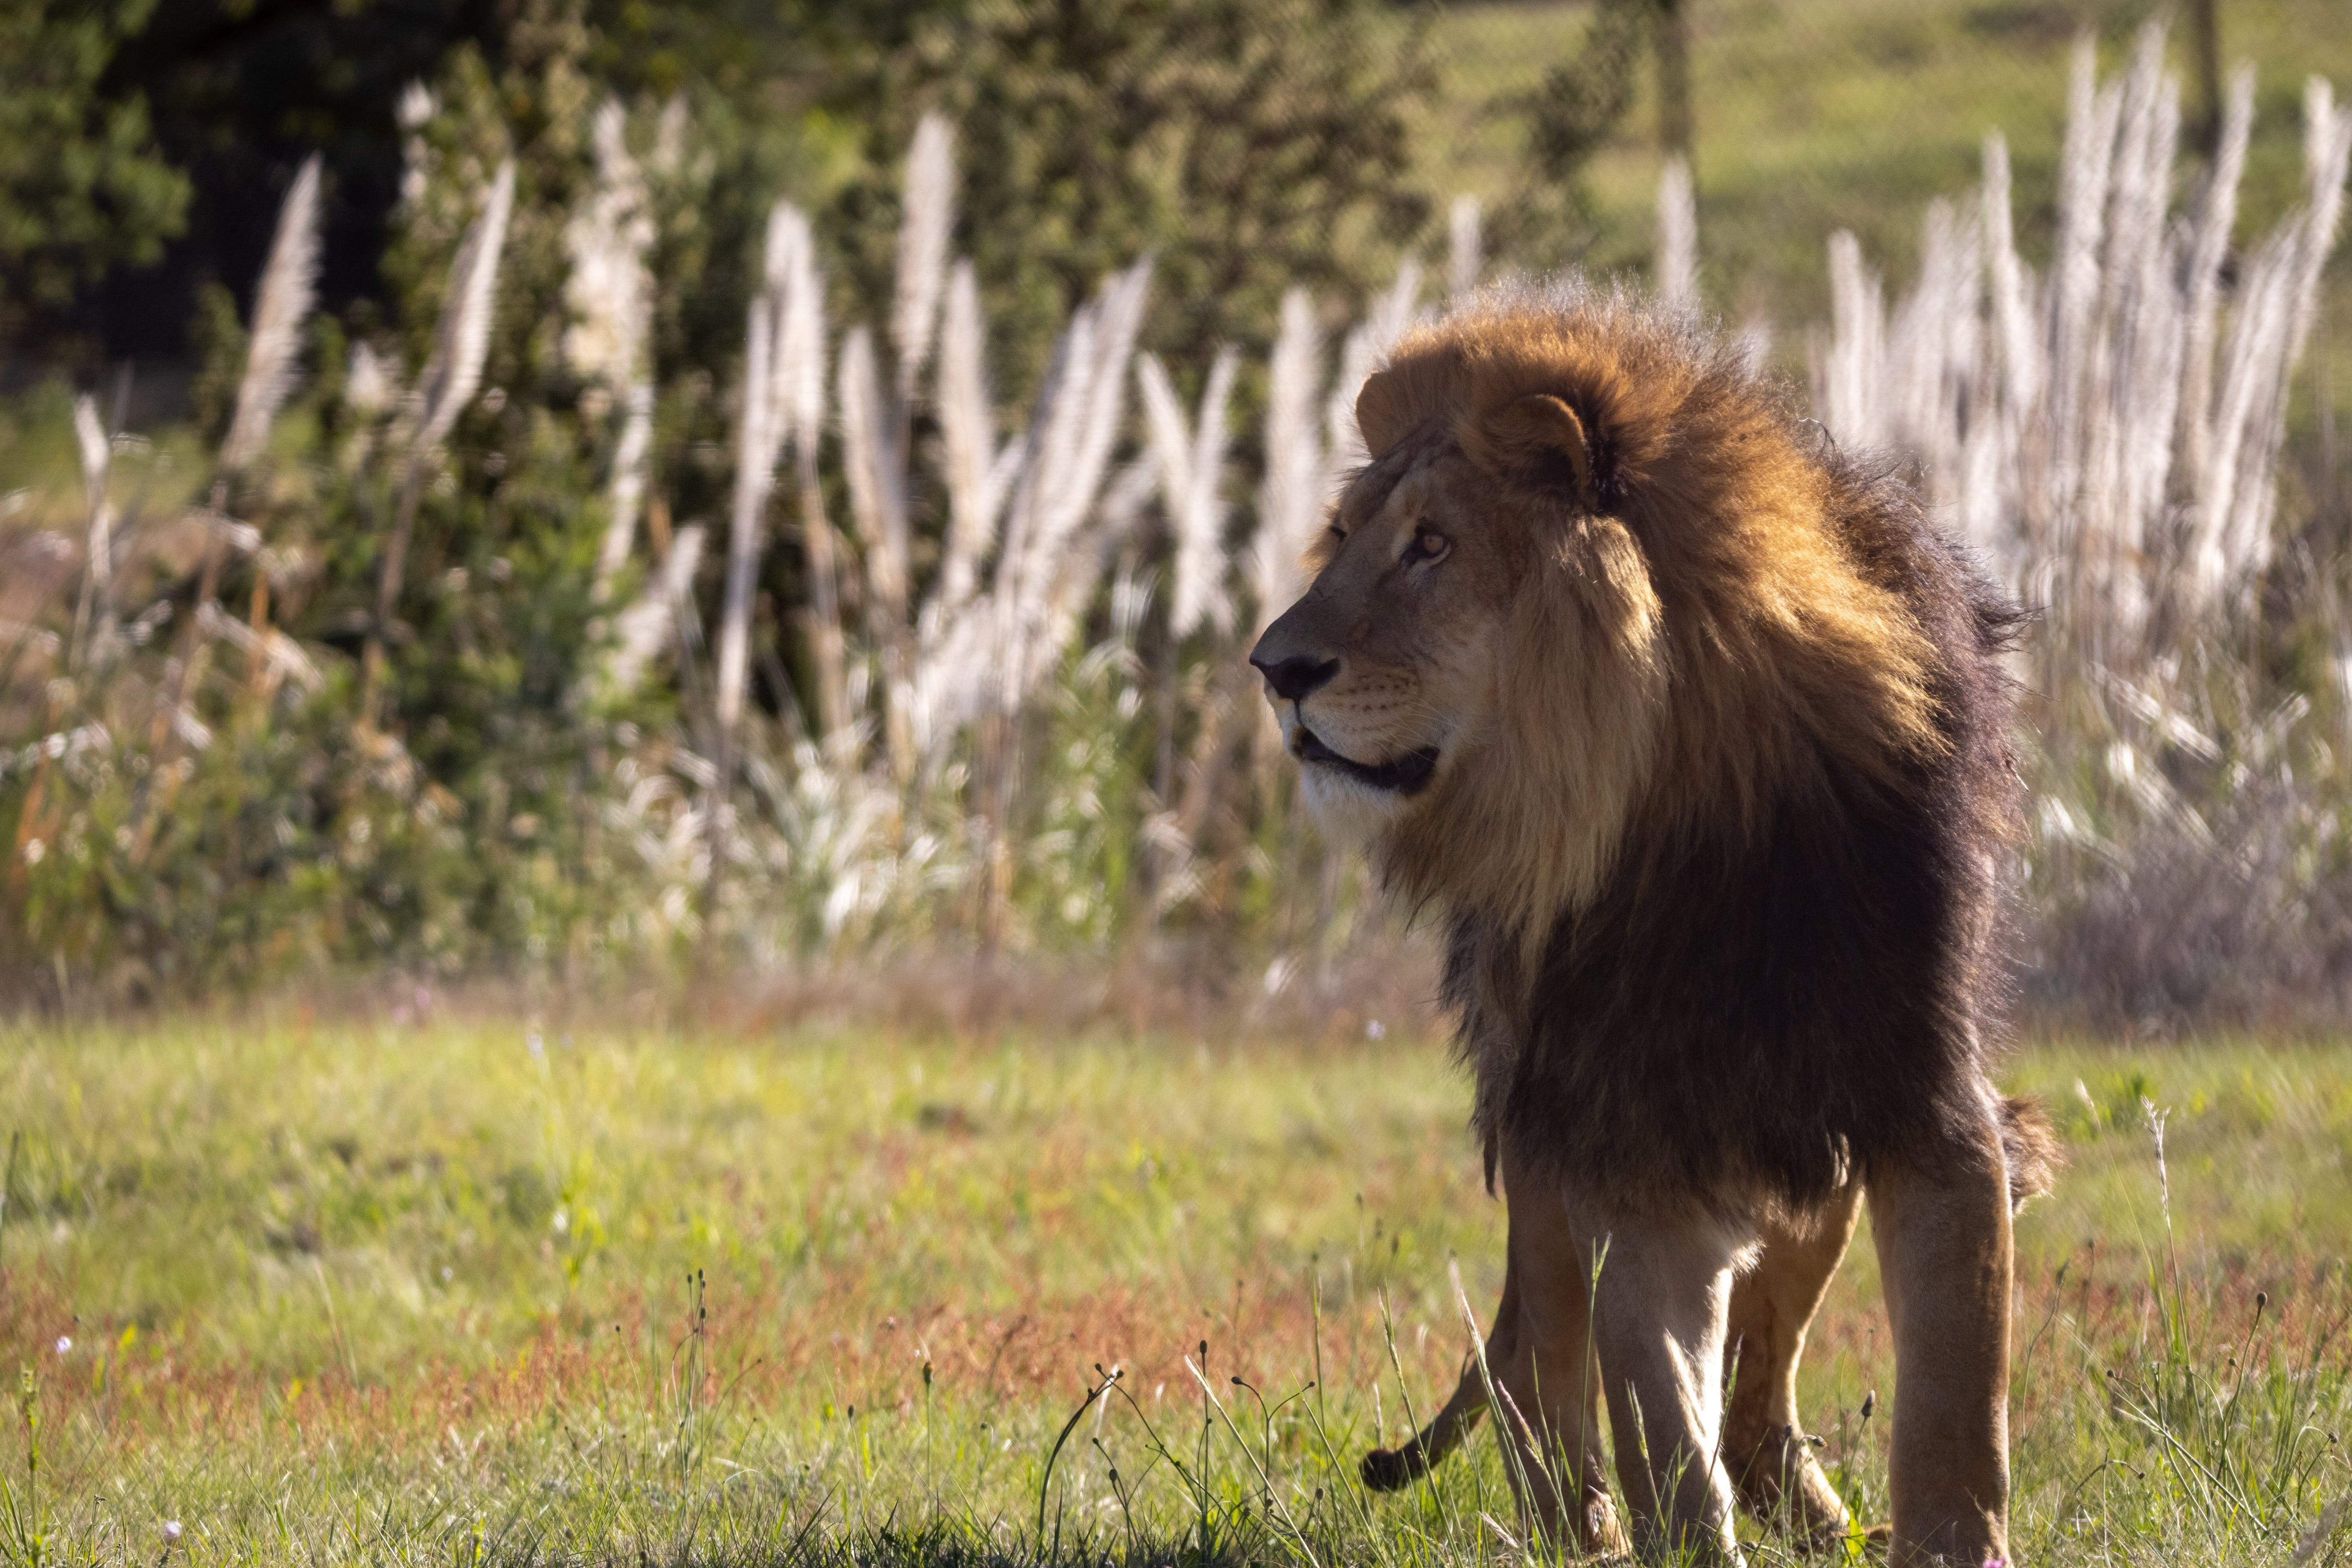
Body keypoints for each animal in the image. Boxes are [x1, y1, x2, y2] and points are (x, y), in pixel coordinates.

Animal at [1249, 285, 2059, 1565]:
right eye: (1342, 538)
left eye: (1433, 546)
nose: (1273, 668)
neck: (1676, 824)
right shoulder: (1622, 1141)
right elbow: (1655, 1406)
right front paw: (1675, 1527)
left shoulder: (1920, 1098)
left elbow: (1952, 1400)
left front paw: (1943, 1539)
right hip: (1543, 1122)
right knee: (1548, 1360)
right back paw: (1577, 1525)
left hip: (1799, 1146)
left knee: (1762, 1352)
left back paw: (1798, 1498)